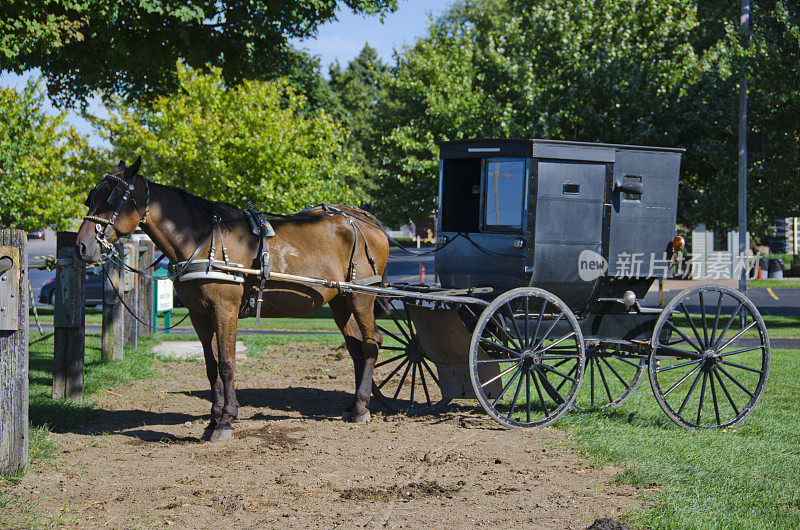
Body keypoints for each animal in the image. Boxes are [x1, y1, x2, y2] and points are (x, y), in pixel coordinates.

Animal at [75, 159, 390, 440]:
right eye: (91, 198)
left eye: (112, 199)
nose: (82, 246)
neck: (202, 239)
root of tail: (363, 220)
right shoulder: (200, 315)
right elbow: (211, 365)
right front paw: (213, 419)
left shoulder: (224, 309)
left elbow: (227, 362)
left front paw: (225, 421)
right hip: (340, 301)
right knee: (356, 347)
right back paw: (354, 404)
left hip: (361, 296)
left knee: (371, 342)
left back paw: (361, 408)